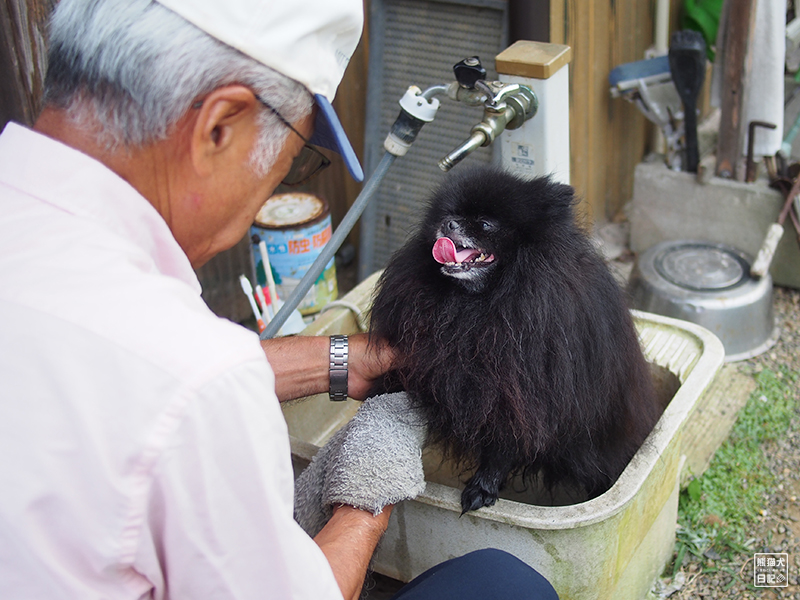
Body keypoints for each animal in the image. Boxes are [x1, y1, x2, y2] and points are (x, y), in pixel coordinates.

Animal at [368, 166, 664, 512]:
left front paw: (483, 485)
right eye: (448, 215)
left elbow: (503, 446)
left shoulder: (522, 394)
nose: (449, 224)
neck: (484, 301)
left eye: (485, 224)